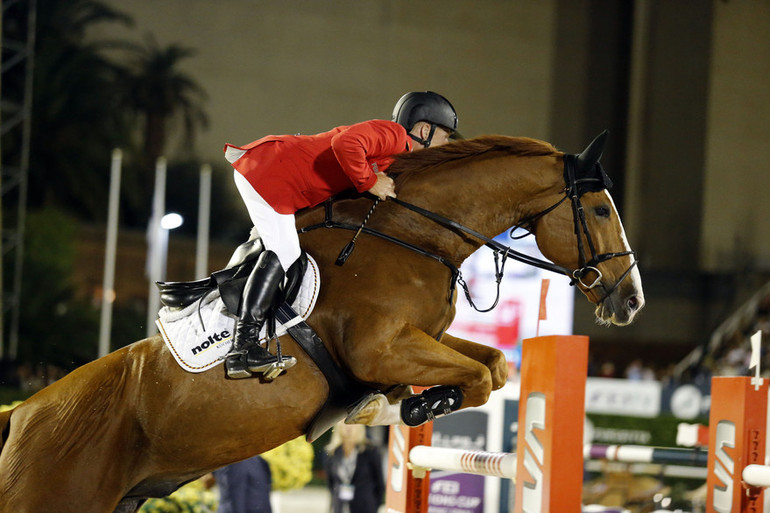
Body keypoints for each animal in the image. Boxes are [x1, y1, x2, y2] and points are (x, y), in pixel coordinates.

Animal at [0, 131, 640, 508]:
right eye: (600, 209)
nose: (630, 300)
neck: (414, 233)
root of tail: (23, 413)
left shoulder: (424, 338)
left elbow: (495, 365)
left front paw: (402, 404)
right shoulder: (380, 347)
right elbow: (479, 376)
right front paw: (412, 406)